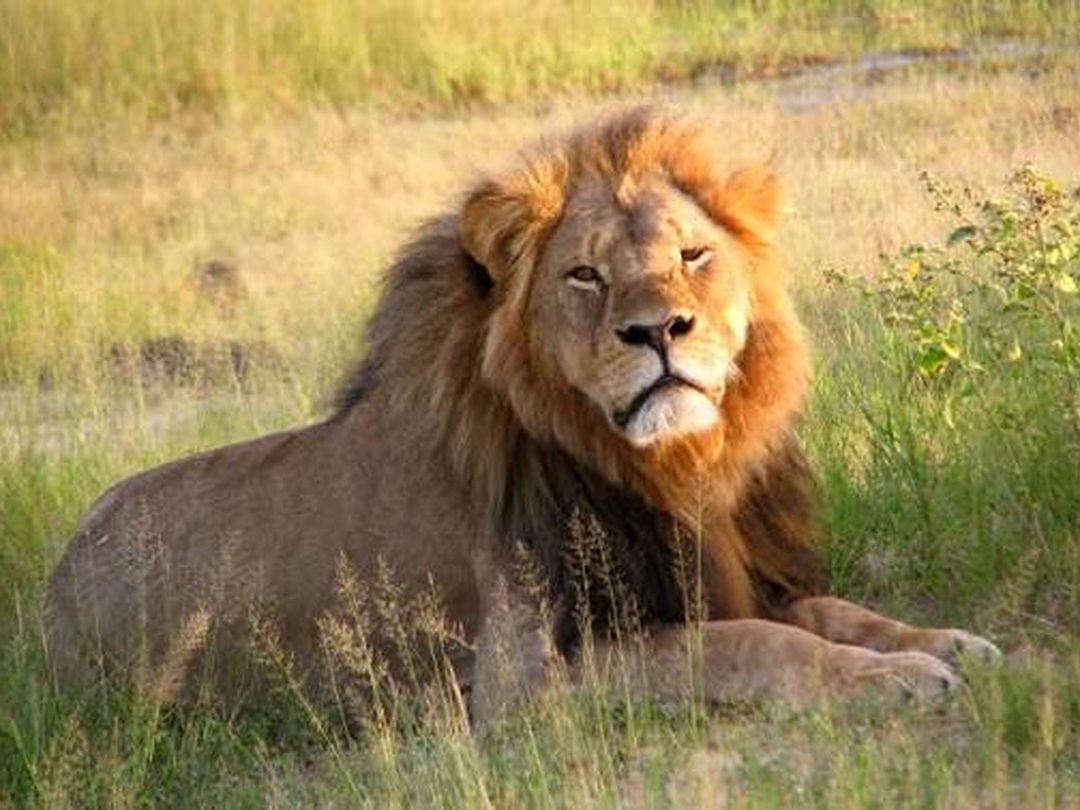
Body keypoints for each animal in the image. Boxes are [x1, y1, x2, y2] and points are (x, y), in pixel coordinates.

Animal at [44, 107, 999, 724]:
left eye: (693, 254)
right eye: (585, 275)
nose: (659, 330)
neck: (669, 467)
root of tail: (52, 582)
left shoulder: (721, 567)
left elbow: (835, 611)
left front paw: (946, 643)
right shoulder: (522, 676)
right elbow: (753, 642)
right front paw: (892, 679)